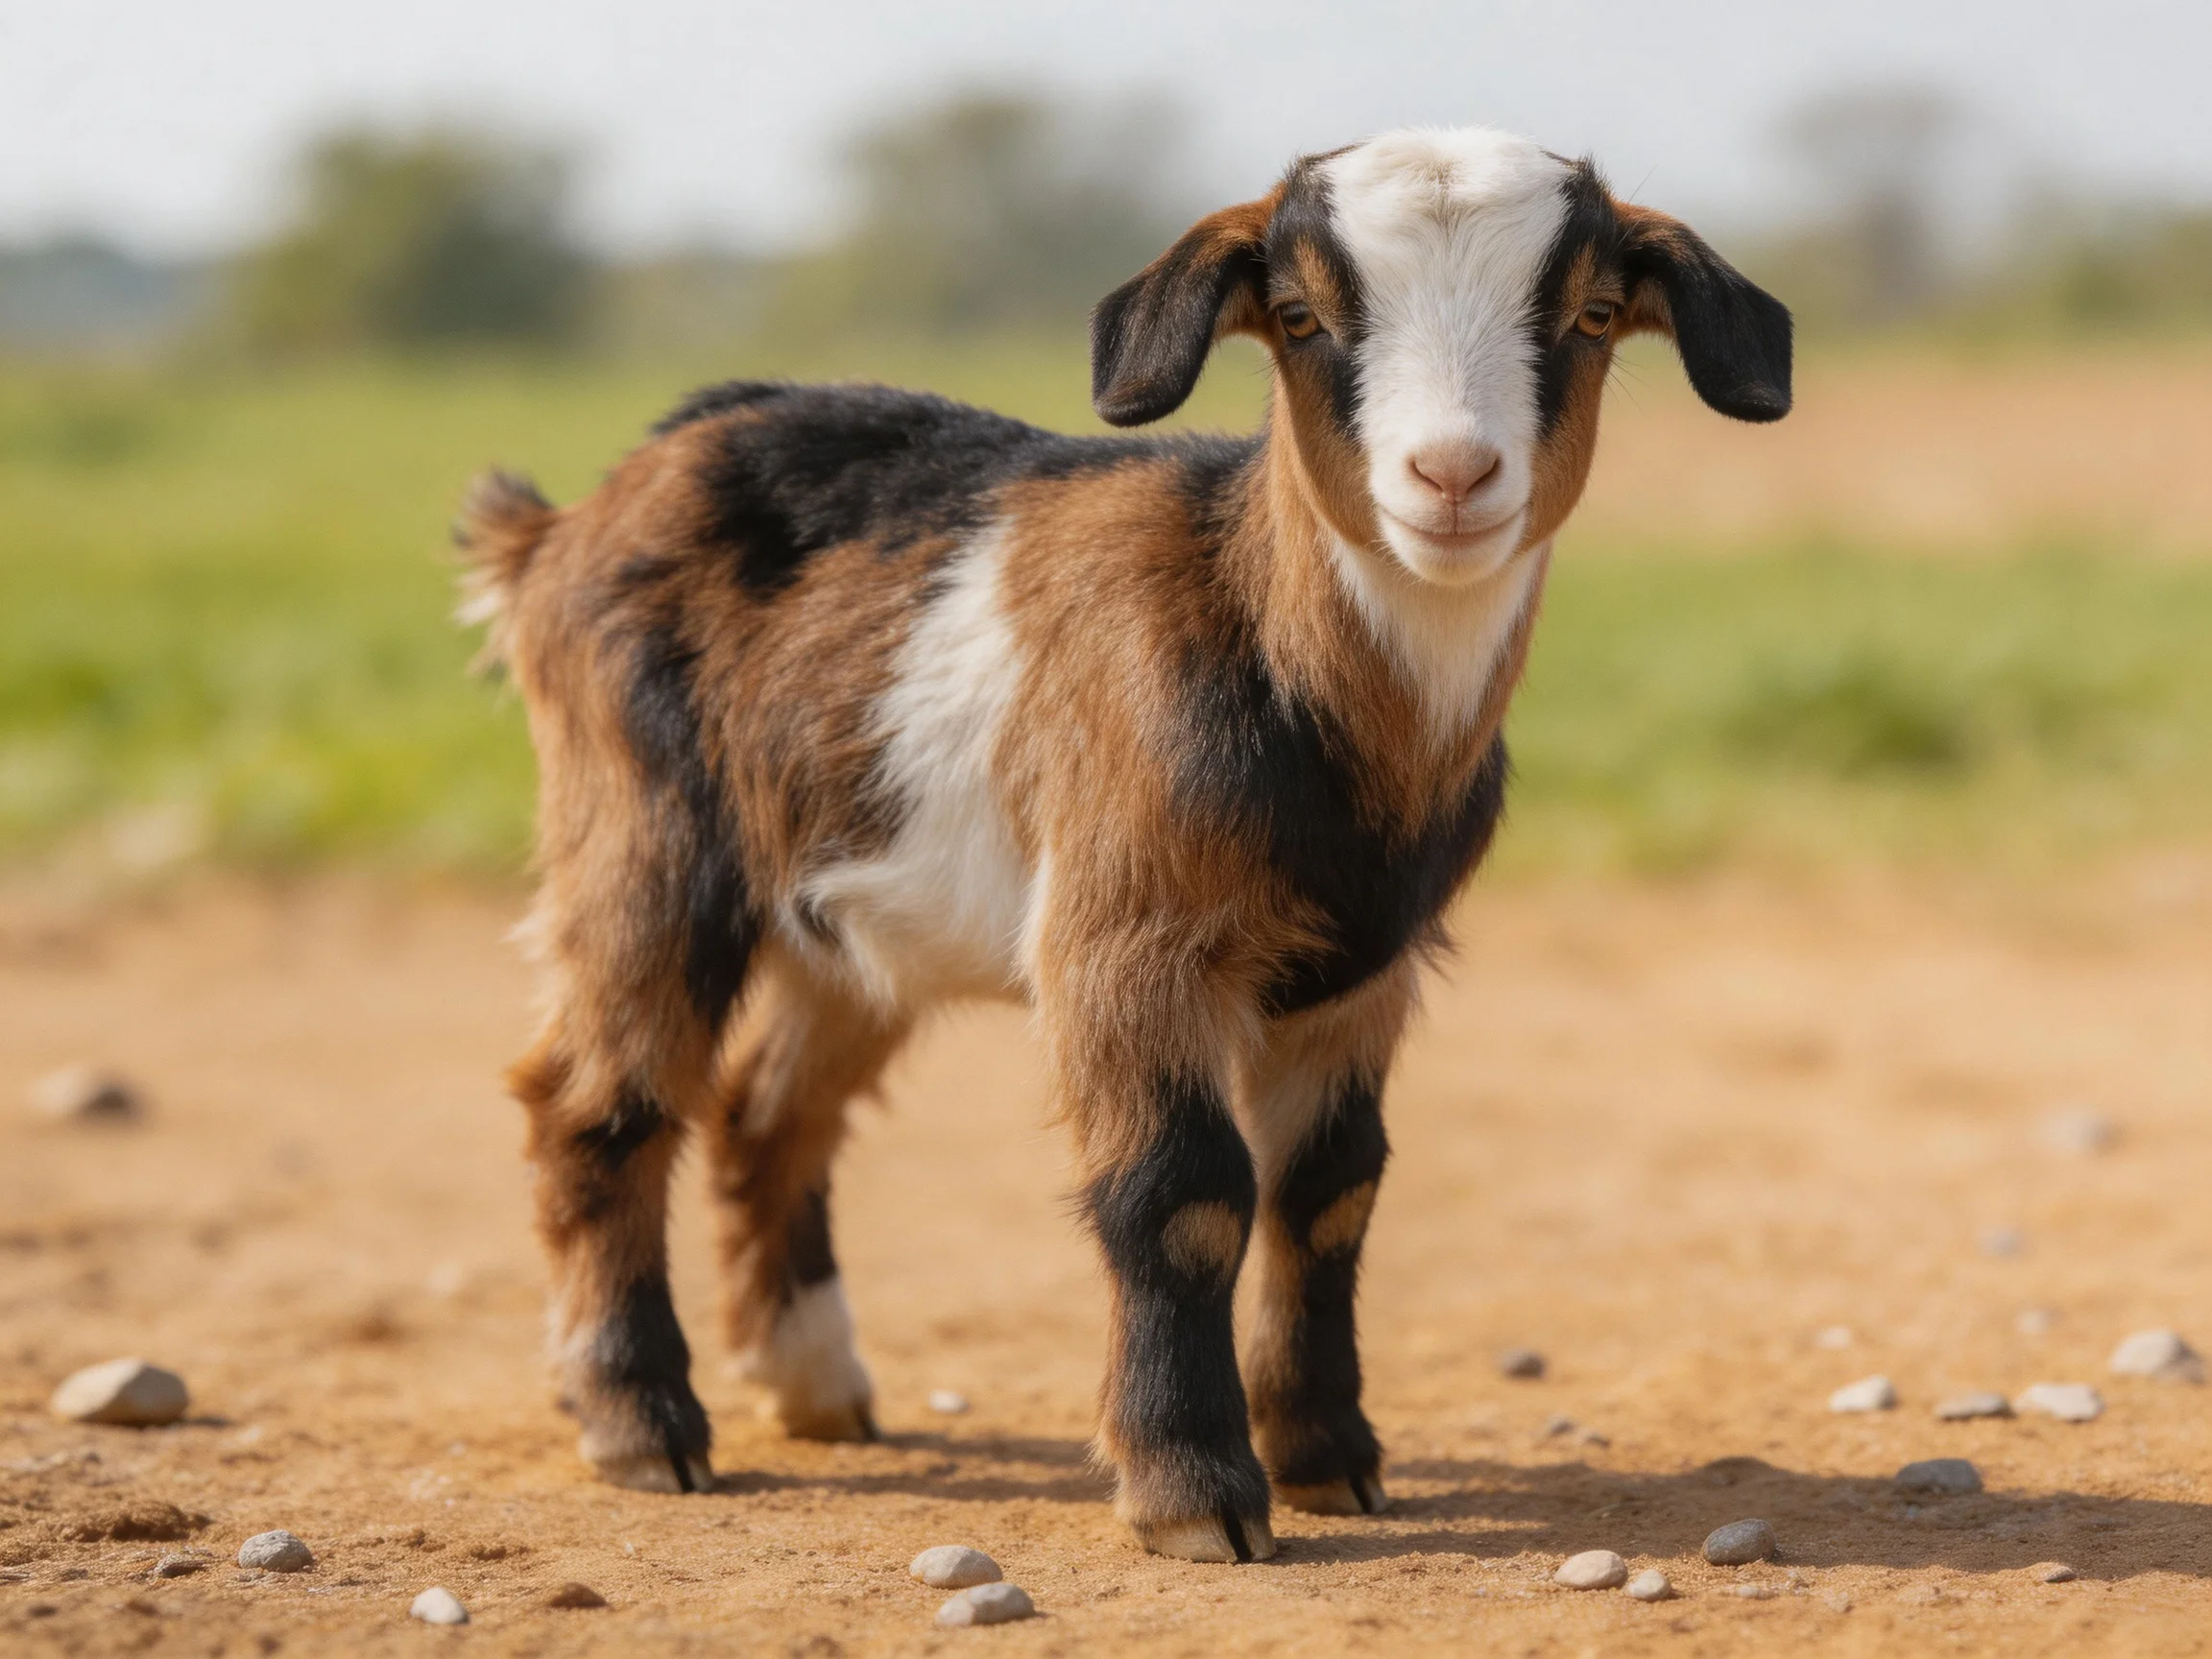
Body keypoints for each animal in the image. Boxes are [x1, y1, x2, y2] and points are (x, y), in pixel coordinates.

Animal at [458, 125, 1790, 1563]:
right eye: (1305, 317)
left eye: (1592, 315)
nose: (1451, 477)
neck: (1269, 643)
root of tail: (557, 528)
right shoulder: (1126, 935)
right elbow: (1183, 1192)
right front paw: (1195, 1491)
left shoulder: (1361, 971)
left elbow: (1330, 1193)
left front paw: (1330, 1460)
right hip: (640, 830)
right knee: (599, 1098)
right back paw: (642, 1424)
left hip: (851, 915)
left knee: (770, 1111)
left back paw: (817, 1387)